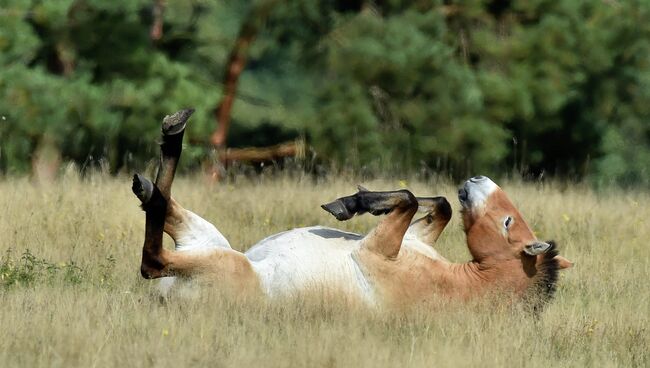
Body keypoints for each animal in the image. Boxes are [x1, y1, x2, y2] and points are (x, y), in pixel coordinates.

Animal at [133, 110, 572, 310]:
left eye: (507, 222)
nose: (479, 179)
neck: (458, 284)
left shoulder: (376, 251)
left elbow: (408, 197)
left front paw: (349, 204)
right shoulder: (414, 237)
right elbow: (439, 205)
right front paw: (356, 201)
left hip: (219, 261)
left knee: (153, 259)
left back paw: (171, 139)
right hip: (209, 239)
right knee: (165, 209)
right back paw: (154, 172)